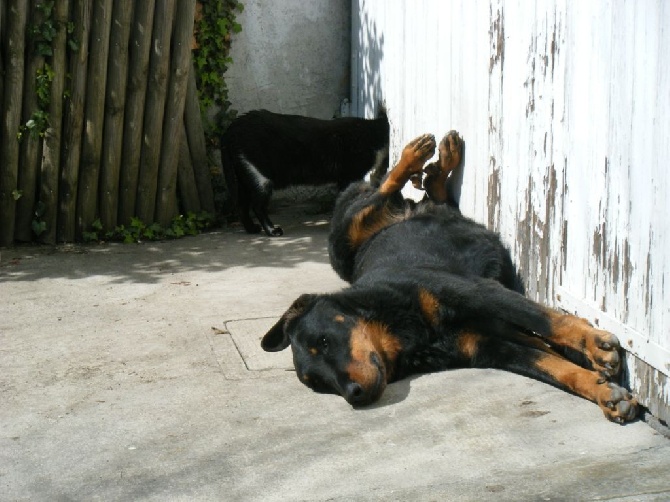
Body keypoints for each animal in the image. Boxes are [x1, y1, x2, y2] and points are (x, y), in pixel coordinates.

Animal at [222, 110, 388, 235]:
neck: (372, 134)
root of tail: (232, 127)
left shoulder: (343, 178)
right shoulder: (350, 175)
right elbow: (347, 197)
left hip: (243, 177)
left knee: (242, 205)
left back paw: (252, 229)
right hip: (260, 176)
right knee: (257, 206)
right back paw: (272, 230)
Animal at [262, 131, 640, 422]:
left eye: (324, 341)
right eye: (318, 384)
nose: (353, 394)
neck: (404, 332)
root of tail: (410, 210)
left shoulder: (473, 290)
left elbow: (548, 321)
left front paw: (596, 347)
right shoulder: (490, 347)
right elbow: (552, 364)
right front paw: (604, 392)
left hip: (343, 239)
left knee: (382, 187)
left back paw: (418, 154)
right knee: (435, 195)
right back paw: (438, 164)